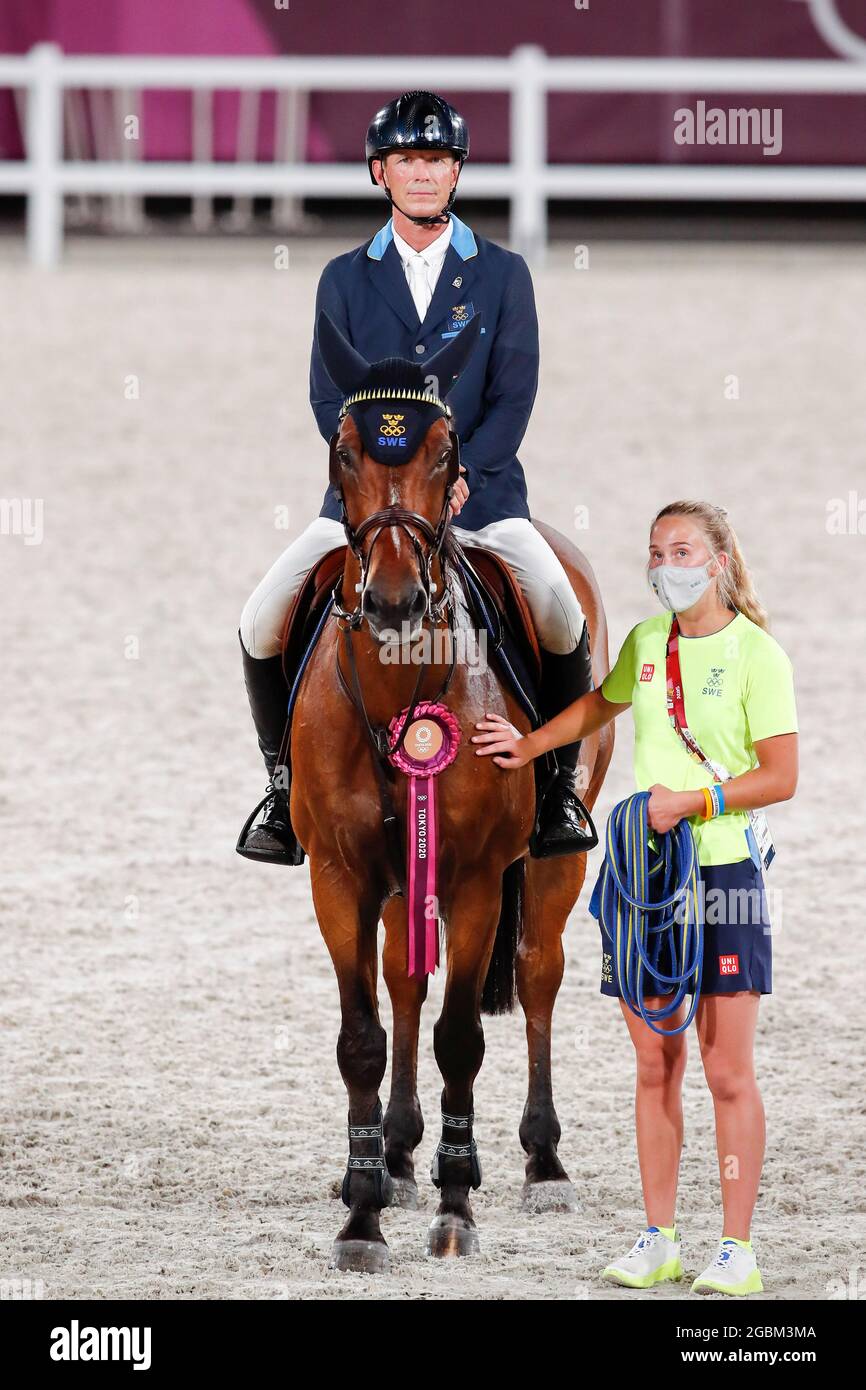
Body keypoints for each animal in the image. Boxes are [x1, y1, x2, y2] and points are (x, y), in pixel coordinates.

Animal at [287, 312, 614, 1273]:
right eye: (344, 451)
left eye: (446, 451)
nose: (394, 601)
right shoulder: (340, 876)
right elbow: (364, 1037)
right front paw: (363, 1213)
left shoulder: (472, 879)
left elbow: (462, 1037)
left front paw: (456, 1208)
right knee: (404, 982)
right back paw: (396, 1154)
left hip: (548, 864)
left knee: (539, 972)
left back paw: (543, 1163)